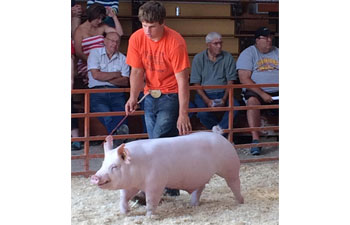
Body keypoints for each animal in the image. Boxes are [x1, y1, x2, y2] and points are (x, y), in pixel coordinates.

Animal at [91, 125, 243, 215]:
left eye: (114, 166)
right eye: (103, 163)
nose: (95, 177)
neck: (138, 165)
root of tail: (219, 135)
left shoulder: (156, 183)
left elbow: (151, 200)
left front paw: (149, 216)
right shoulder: (131, 185)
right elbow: (124, 197)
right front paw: (124, 213)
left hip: (231, 166)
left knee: (234, 184)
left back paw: (240, 202)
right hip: (201, 176)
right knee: (199, 189)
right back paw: (193, 205)